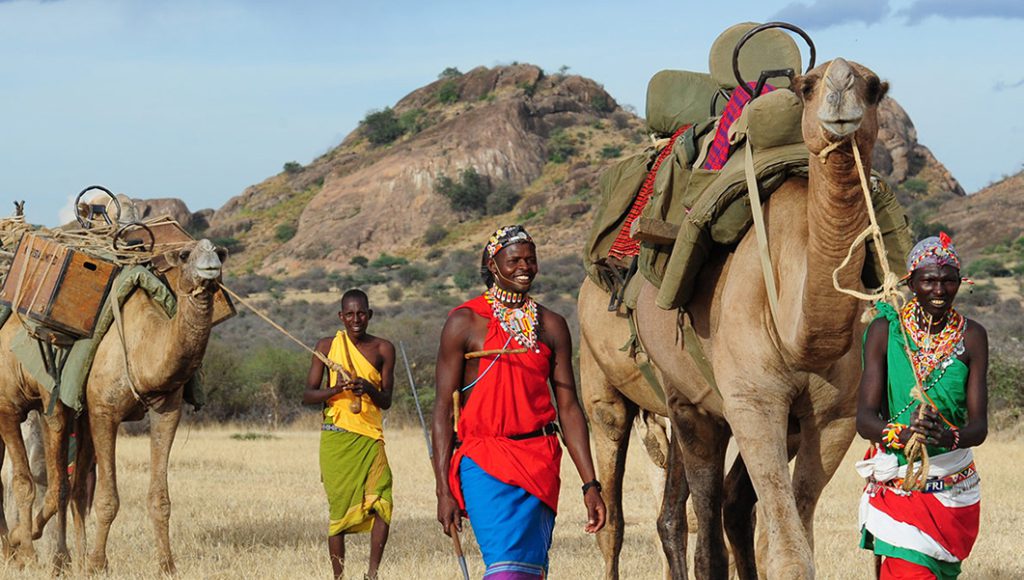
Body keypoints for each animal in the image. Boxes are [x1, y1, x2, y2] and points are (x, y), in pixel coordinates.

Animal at [67, 238, 226, 573]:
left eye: (220, 253)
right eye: (184, 254)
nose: (210, 262)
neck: (143, 349)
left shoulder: (167, 411)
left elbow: (159, 499)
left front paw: (167, 565)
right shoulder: (103, 412)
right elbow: (107, 499)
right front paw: (98, 565)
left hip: (81, 418)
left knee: (76, 488)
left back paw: (77, 556)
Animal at [580, 57, 888, 579]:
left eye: (873, 87)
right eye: (808, 87)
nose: (840, 94)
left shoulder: (834, 419)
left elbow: (788, 542)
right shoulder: (752, 402)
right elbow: (784, 551)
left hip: (694, 405)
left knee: (705, 511)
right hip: (613, 390)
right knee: (621, 520)